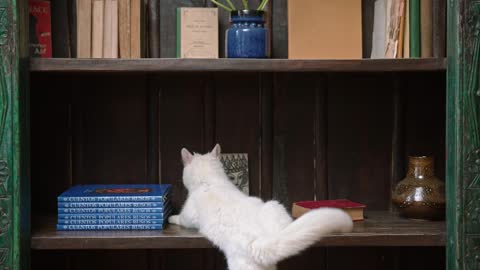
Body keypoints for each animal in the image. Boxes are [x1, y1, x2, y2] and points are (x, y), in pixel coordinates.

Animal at [169, 144, 352, 268]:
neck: (210, 182)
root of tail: (262, 241)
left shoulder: (188, 216)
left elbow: (180, 219)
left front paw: (171, 217)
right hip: (274, 206)